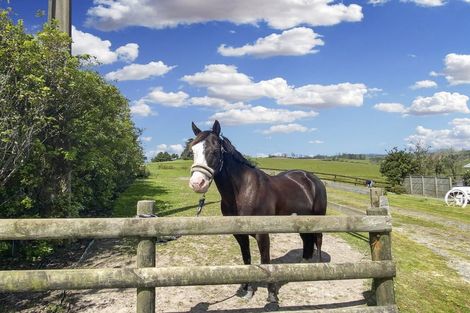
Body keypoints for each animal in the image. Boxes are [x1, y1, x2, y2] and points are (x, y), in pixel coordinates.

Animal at [187, 120, 326, 304]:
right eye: (192, 151)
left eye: (215, 150)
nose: (197, 184)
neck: (243, 191)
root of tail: (313, 179)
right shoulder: (239, 234)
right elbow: (247, 259)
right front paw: (247, 289)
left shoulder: (262, 234)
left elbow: (265, 261)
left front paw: (272, 295)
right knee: (307, 241)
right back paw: (303, 266)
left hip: (319, 219)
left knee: (318, 240)